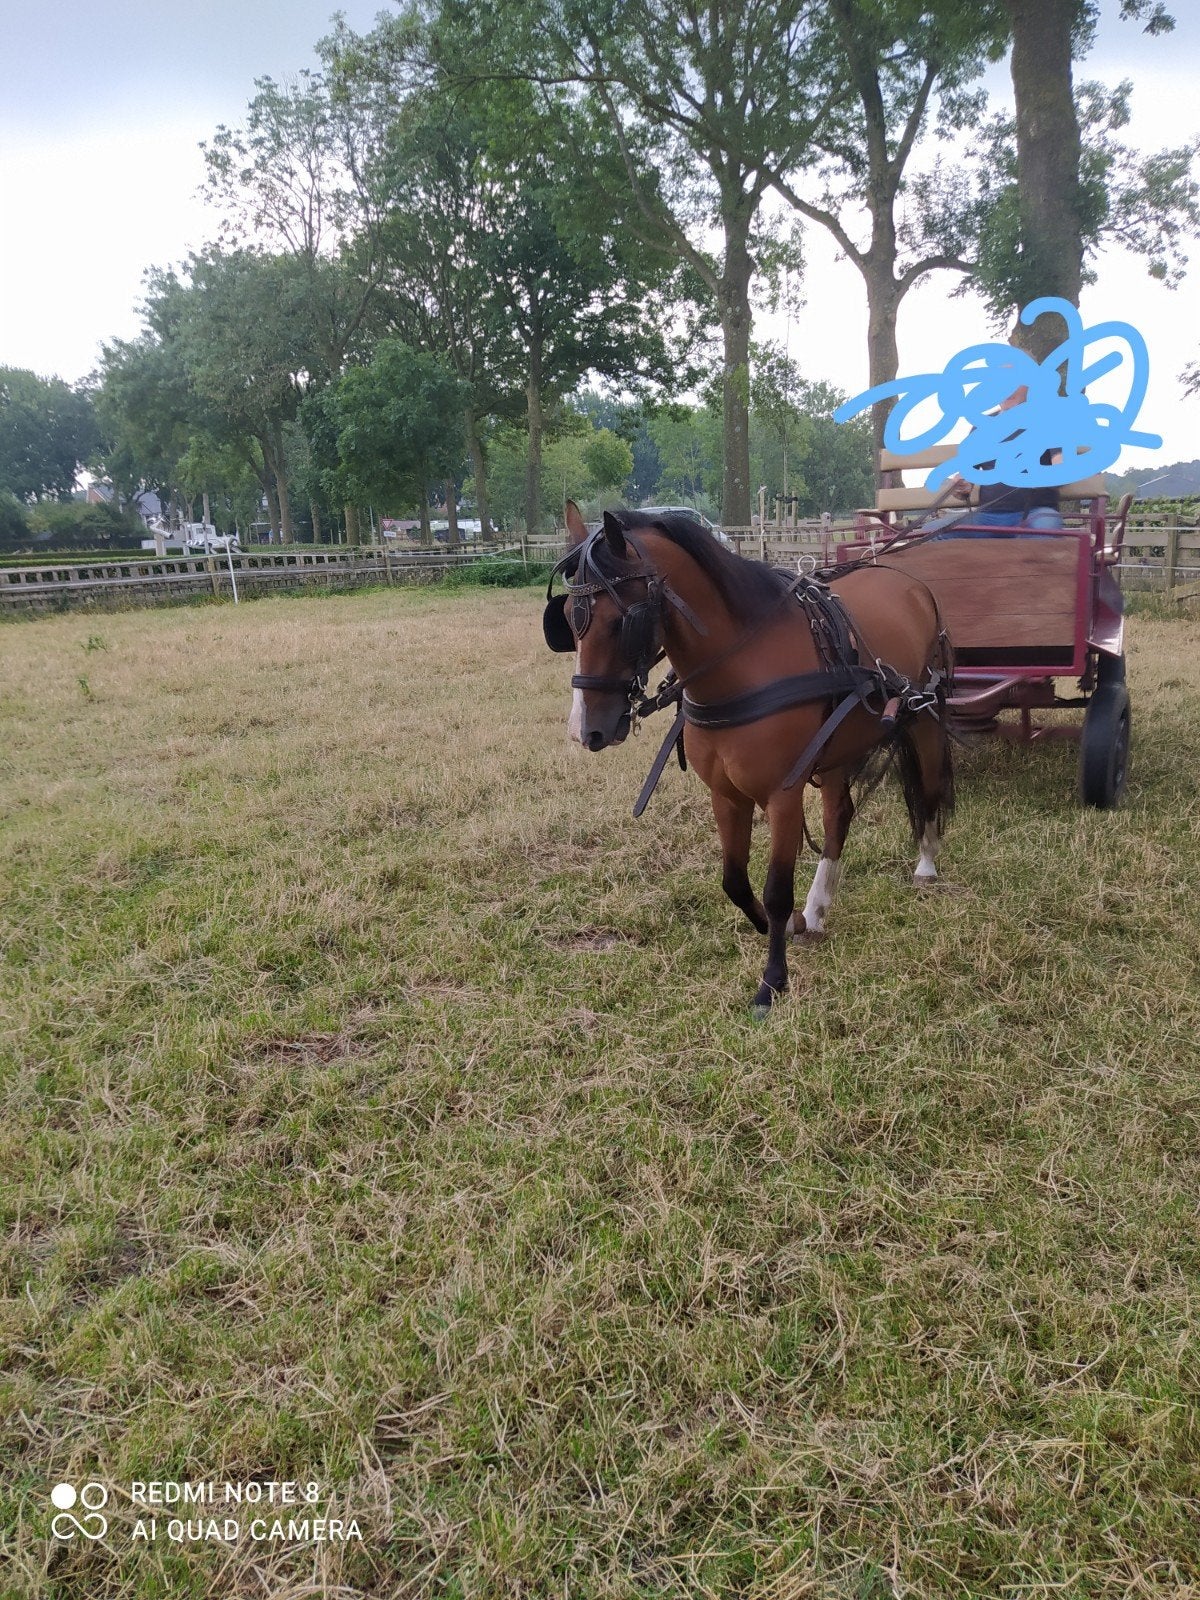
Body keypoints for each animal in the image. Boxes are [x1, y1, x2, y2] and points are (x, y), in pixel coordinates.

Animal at [543, 501, 955, 1012]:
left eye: (621, 622)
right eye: (566, 619)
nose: (586, 730)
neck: (741, 668)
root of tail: (908, 580)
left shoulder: (782, 795)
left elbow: (776, 890)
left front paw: (772, 980)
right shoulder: (726, 796)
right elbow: (735, 882)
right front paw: (783, 924)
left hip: (924, 718)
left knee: (930, 787)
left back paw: (926, 863)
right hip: (836, 746)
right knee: (838, 816)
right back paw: (817, 908)